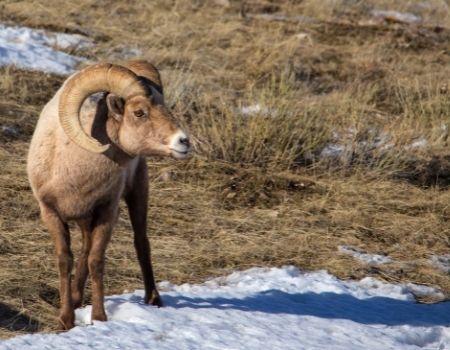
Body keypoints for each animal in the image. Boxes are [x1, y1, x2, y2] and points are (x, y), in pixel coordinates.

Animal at [27, 60, 190, 328]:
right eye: (139, 112)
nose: (183, 142)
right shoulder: (51, 213)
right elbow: (65, 260)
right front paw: (66, 320)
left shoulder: (107, 211)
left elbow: (96, 260)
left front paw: (99, 318)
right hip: (85, 219)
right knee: (84, 251)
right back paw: (75, 299)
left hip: (137, 194)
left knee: (141, 242)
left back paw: (153, 299)